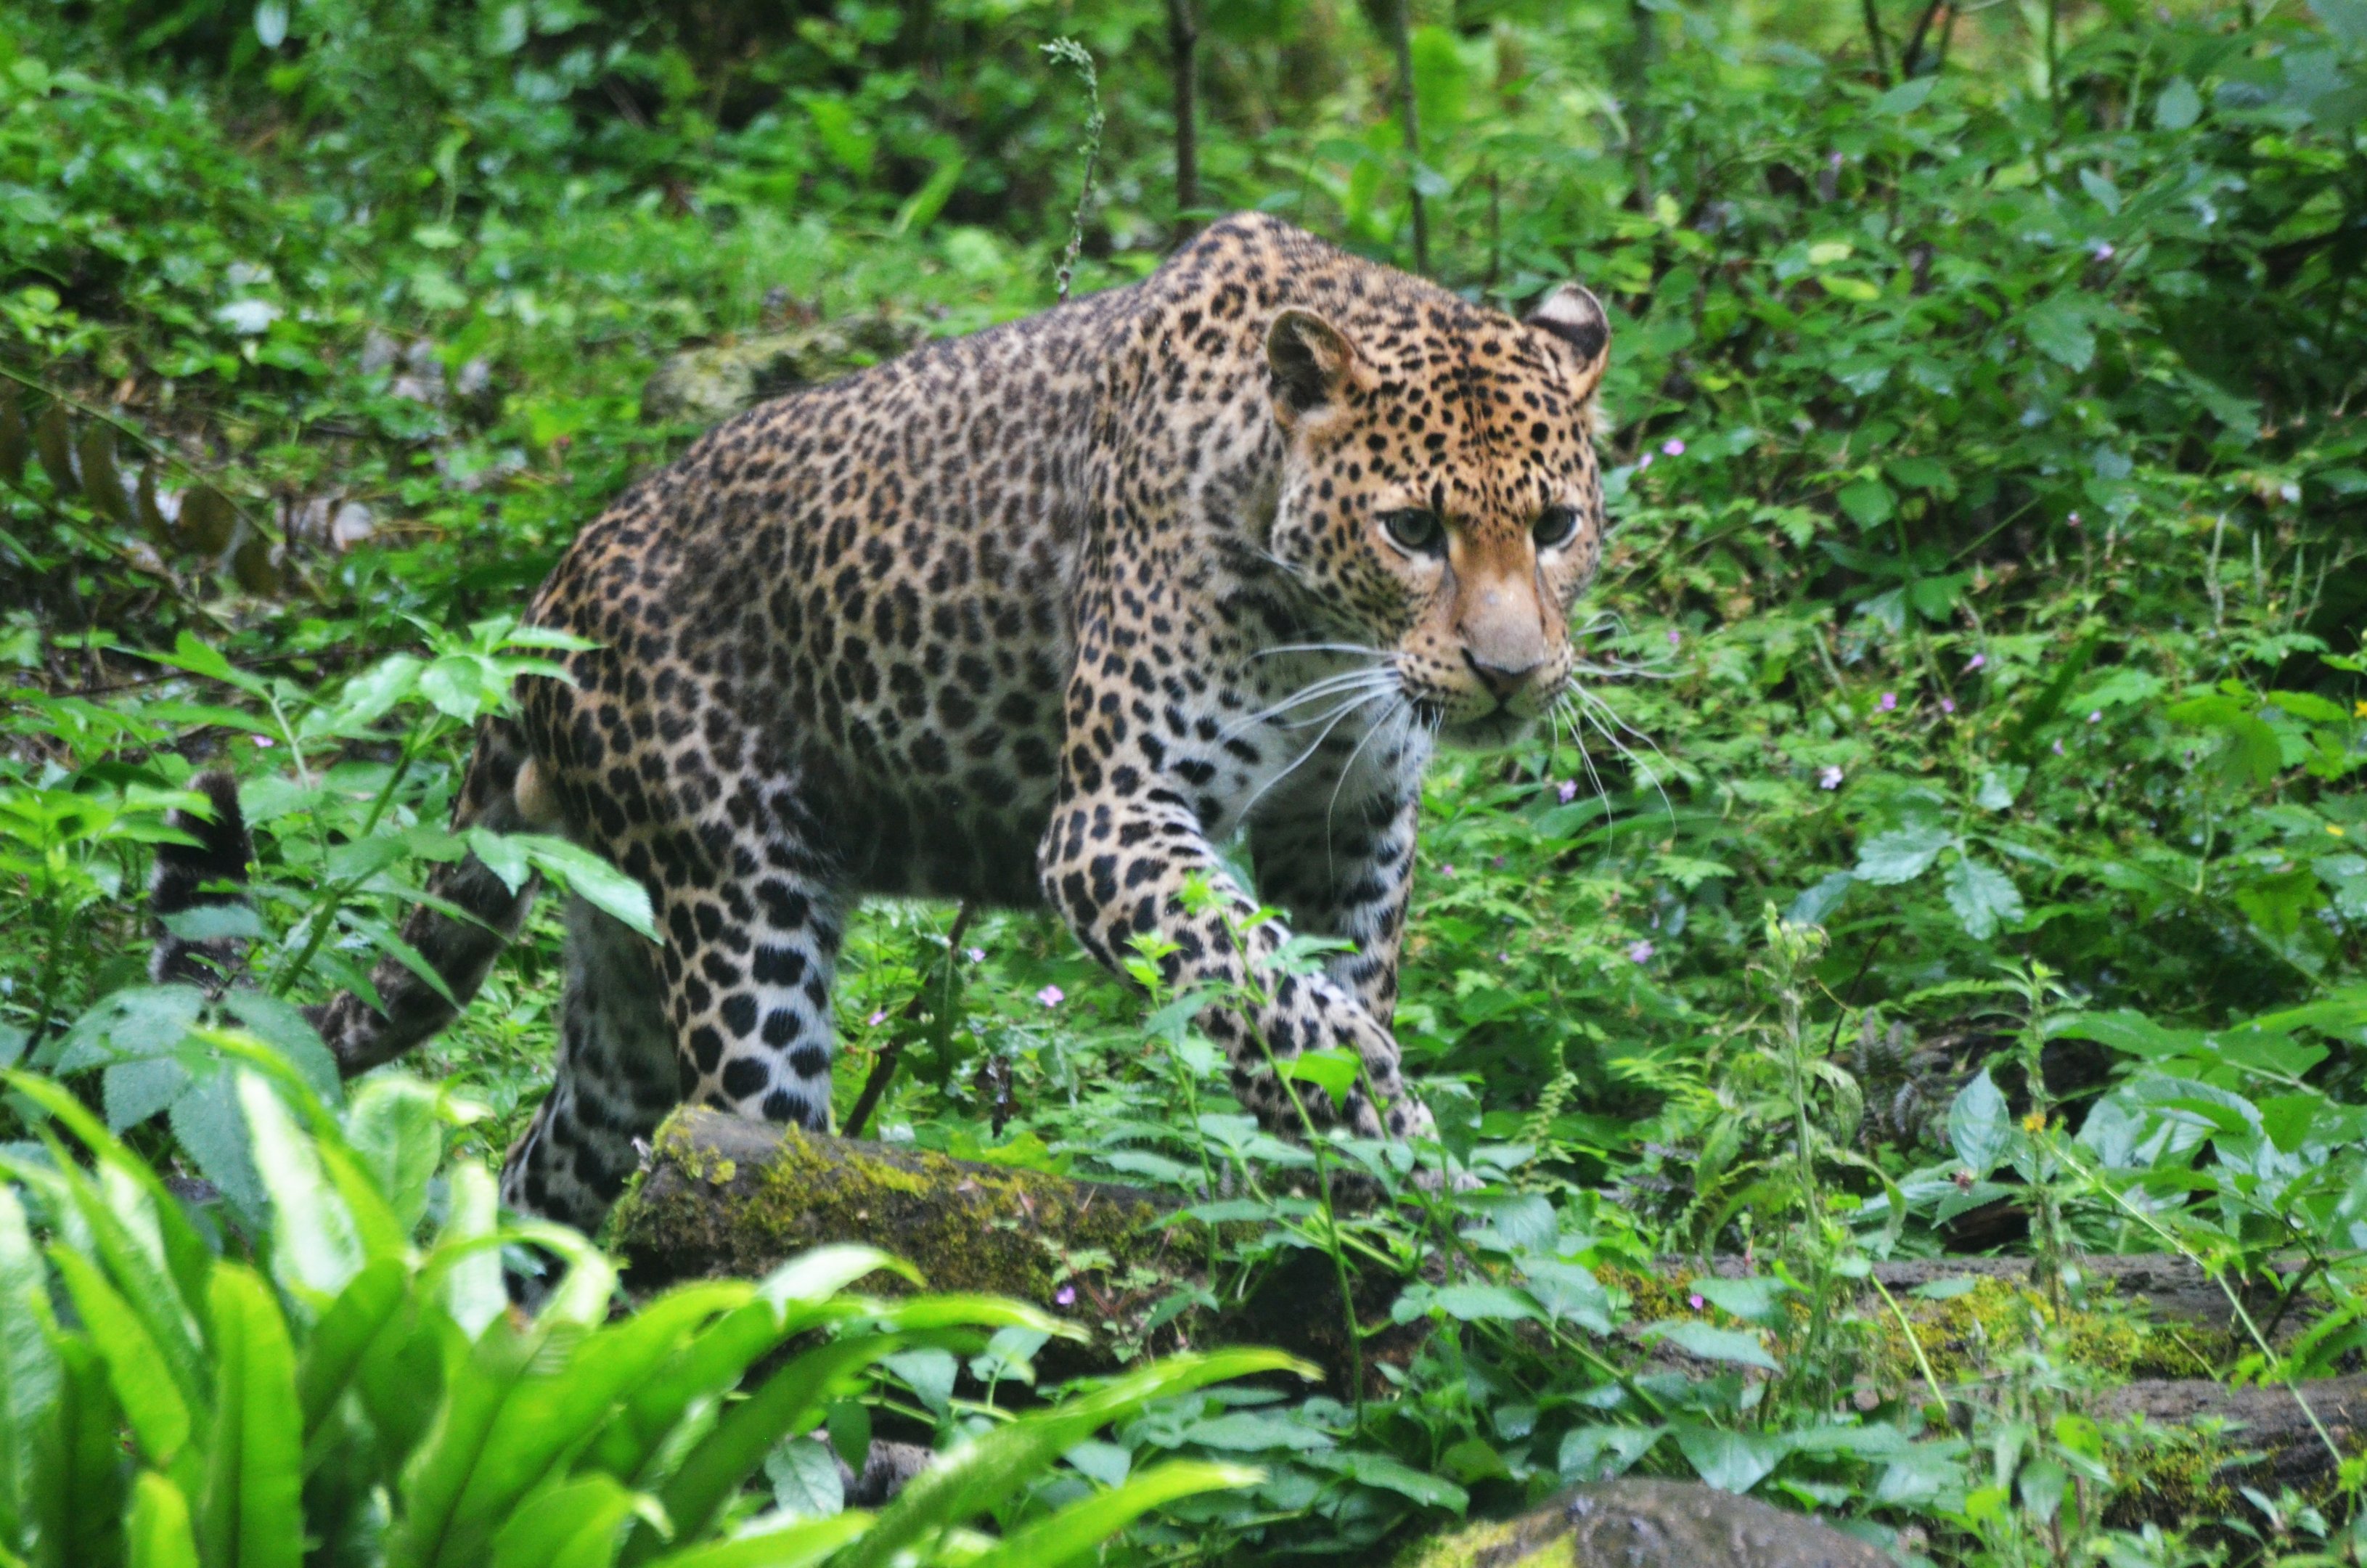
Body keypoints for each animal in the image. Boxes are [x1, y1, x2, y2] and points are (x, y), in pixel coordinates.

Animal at [161, 212, 1614, 1235]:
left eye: (1556, 525)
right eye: (1411, 530)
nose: (1510, 675)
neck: (1331, 634)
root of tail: (544, 611)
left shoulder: (1350, 820)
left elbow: (1323, 982)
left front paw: (1339, 1187)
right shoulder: (1111, 822)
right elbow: (1283, 998)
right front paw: (1405, 1149)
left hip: (620, 973)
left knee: (553, 1173)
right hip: (741, 920)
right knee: (731, 1175)